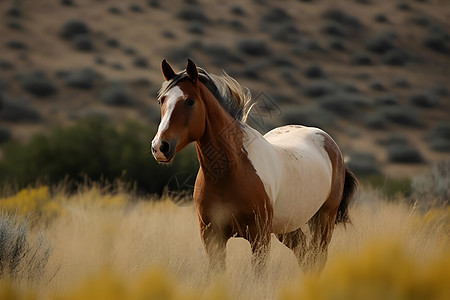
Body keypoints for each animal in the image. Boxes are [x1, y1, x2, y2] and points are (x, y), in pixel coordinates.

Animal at [152, 58, 358, 274]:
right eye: (161, 101)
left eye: (190, 101)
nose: (160, 147)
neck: (230, 173)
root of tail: (330, 143)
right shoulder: (211, 236)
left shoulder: (259, 238)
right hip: (289, 227)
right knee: (304, 255)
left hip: (324, 220)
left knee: (317, 259)